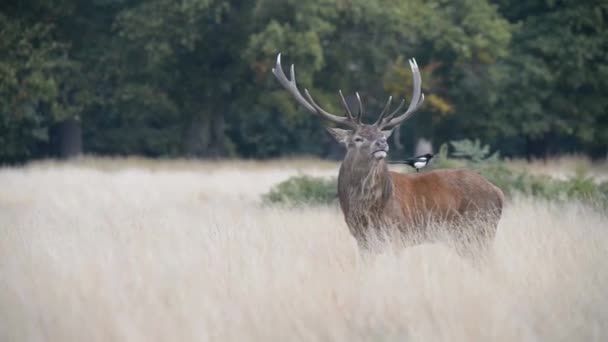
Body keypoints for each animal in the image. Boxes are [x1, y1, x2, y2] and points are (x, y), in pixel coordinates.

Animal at [270, 52, 504, 251]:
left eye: (382, 135)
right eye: (358, 138)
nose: (382, 143)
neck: (363, 211)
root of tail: (499, 193)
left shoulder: (396, 234)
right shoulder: (363, 241)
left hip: (477, 231)